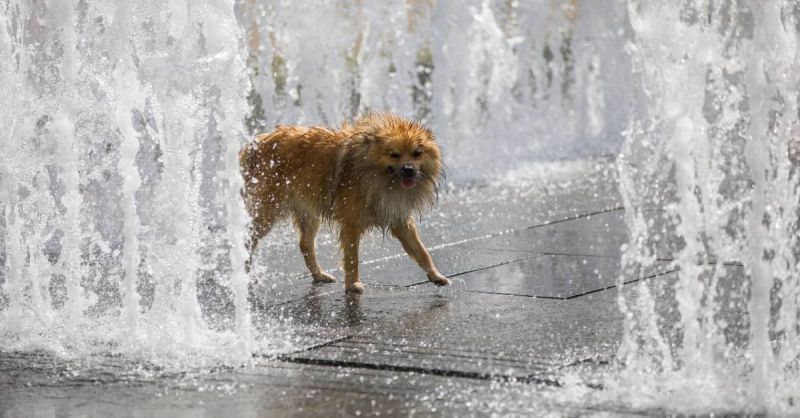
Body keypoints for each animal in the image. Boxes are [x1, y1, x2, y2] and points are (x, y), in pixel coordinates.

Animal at [238, 111, 450, 294]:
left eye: (417, 153)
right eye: (394, 154)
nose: (408, 169)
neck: (377, 176)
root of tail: (254, 145)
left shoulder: (399, 218)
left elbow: (421, 251)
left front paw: (435, 275)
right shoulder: (350, 223)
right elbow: (352, 257)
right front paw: (353, 284)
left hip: (308, 213)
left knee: (305, 244)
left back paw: (319, 275)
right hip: (267, 210)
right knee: (248, 239)